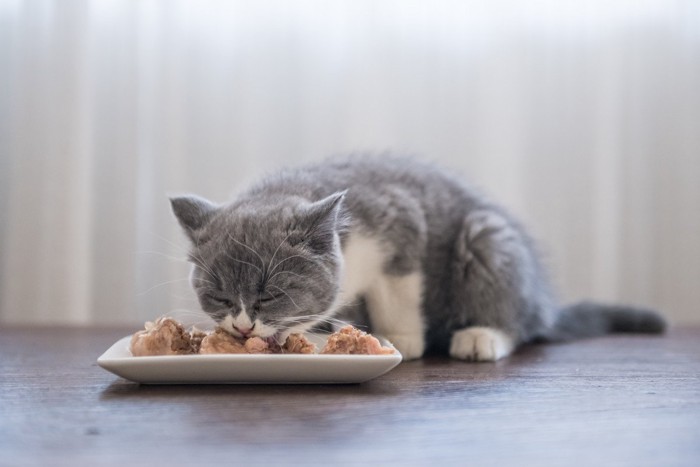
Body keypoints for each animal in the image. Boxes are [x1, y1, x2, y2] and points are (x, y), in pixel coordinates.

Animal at [168, 154, 660, 362]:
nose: (242, 327)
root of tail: (547, 305)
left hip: (489, 236)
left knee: (518, 319)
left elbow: (400, 290)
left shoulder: (400, 223)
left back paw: (482, 337)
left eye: (269, 295)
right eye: (218, 297)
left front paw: (401, 339)